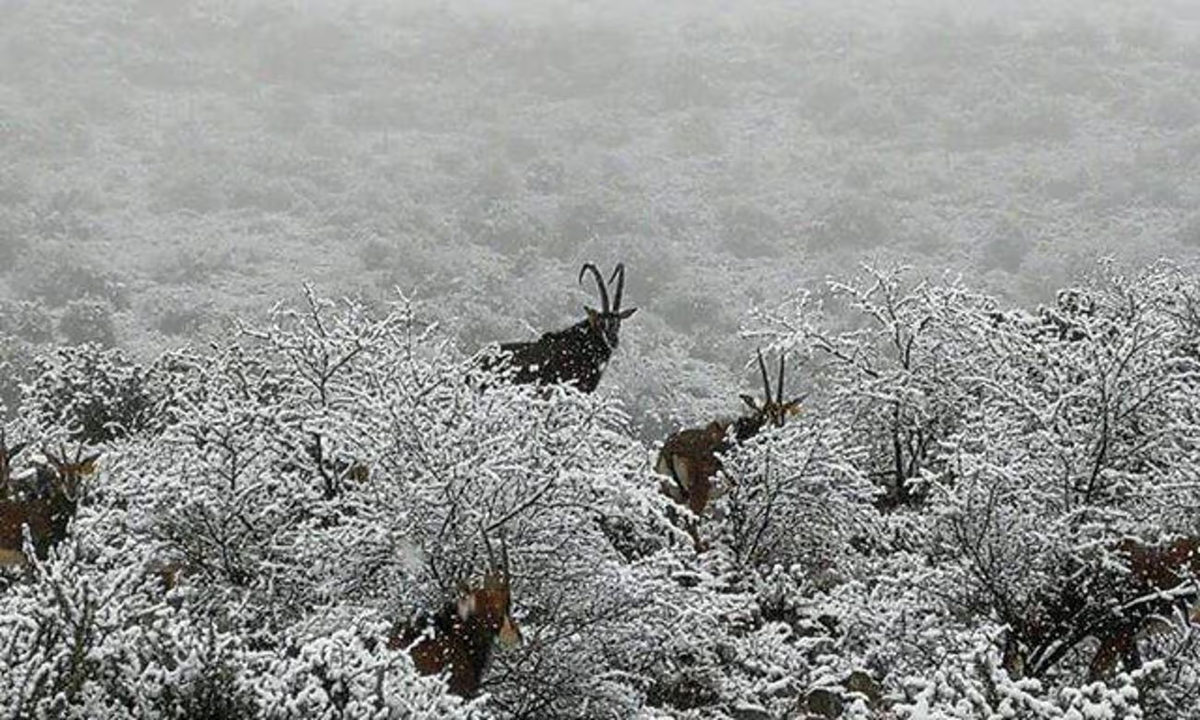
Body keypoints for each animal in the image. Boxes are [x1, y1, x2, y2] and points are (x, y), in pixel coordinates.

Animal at [652, 350, 801, 549]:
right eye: (764, 414)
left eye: (783, 413)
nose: (775, 432)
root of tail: (670, 448)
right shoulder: (741, 489)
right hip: (699, 492)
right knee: (691, 522)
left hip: (672, 494)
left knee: (671, 522)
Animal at [1003, 535, 1200, 681]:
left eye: (1013, 639)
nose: (1005, 669)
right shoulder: (1125, 638)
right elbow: (1135, 671)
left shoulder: (1119, 632)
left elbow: (1096, 673)